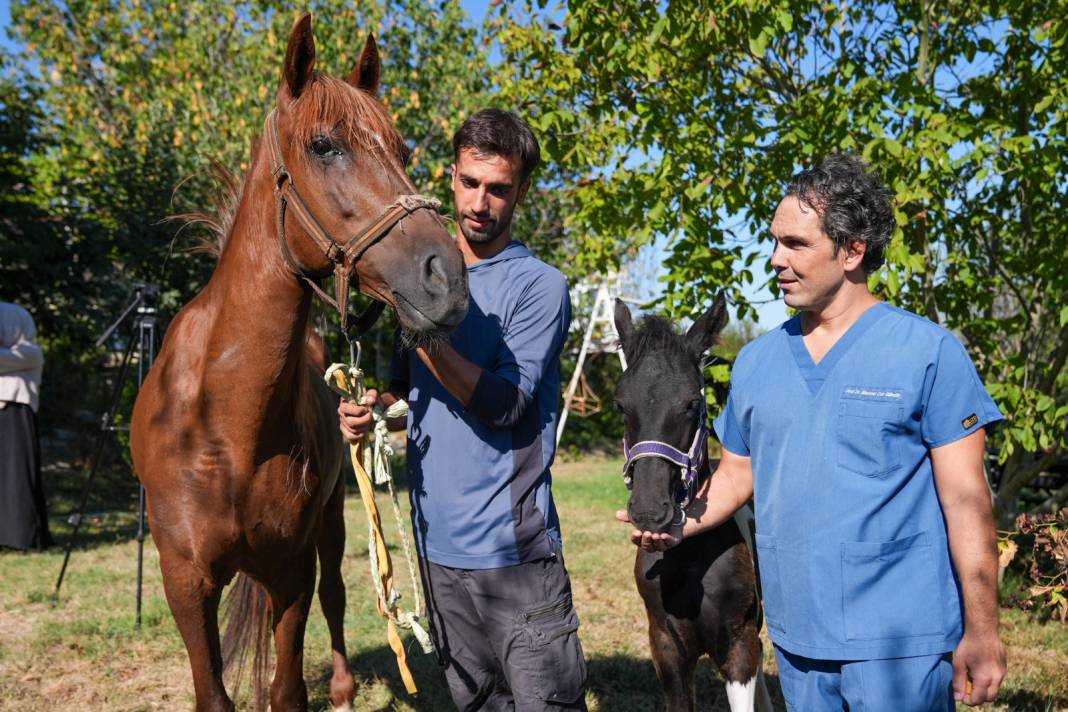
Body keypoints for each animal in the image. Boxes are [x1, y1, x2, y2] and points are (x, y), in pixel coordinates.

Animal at [129, 15, 467, 712]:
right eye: (323, 146)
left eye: (402, 150)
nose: (446, 278)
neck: (224, 423)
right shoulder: (185, 583)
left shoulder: (290, 570)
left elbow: (286, 687)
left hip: (331, 525)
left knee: (337, 595)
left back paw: (342, 687)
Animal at [615, 294, 773, 712]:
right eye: (621, 405)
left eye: (690, 402)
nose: (649, 511)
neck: (689, 562)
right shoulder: (666, 648)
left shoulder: (738, 648)